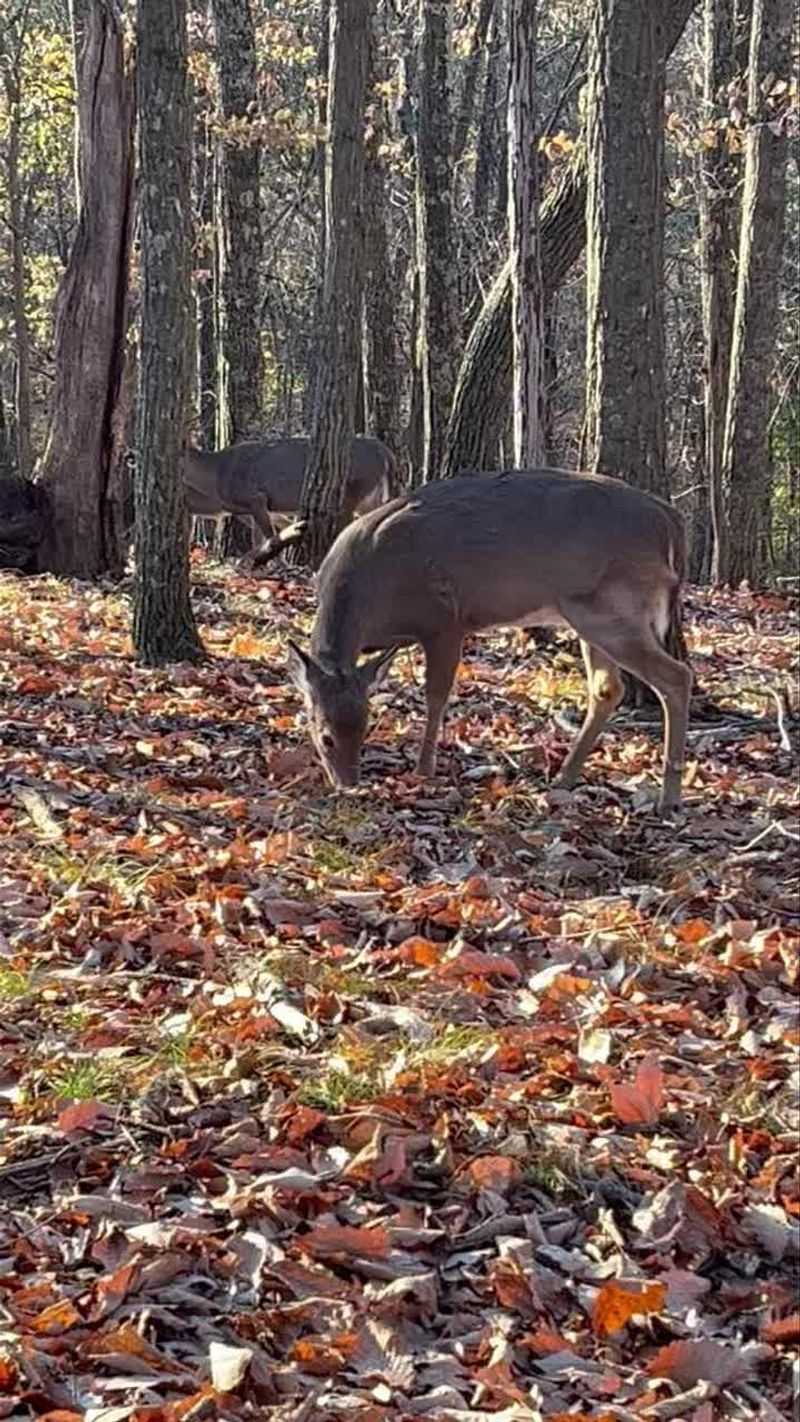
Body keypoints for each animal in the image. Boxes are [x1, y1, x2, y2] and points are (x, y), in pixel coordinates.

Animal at [182, 435, 396, 554]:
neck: (216, 474)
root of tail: (384, 450)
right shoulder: (258, 508)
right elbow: (267, 536)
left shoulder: (255, 497)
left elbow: (270, 538)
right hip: (370, 496)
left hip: (354, 489)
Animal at [286, 470, 693, 812]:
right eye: (327, 736)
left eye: (364, 727)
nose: (348, 784)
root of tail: (671, 523)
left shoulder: (445, 620)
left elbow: (436, 695)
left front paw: (423, 769)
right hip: (590, 614)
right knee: (608, 688)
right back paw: (564, 778)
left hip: (614, 607)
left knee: (676, 676)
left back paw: (669, 797)